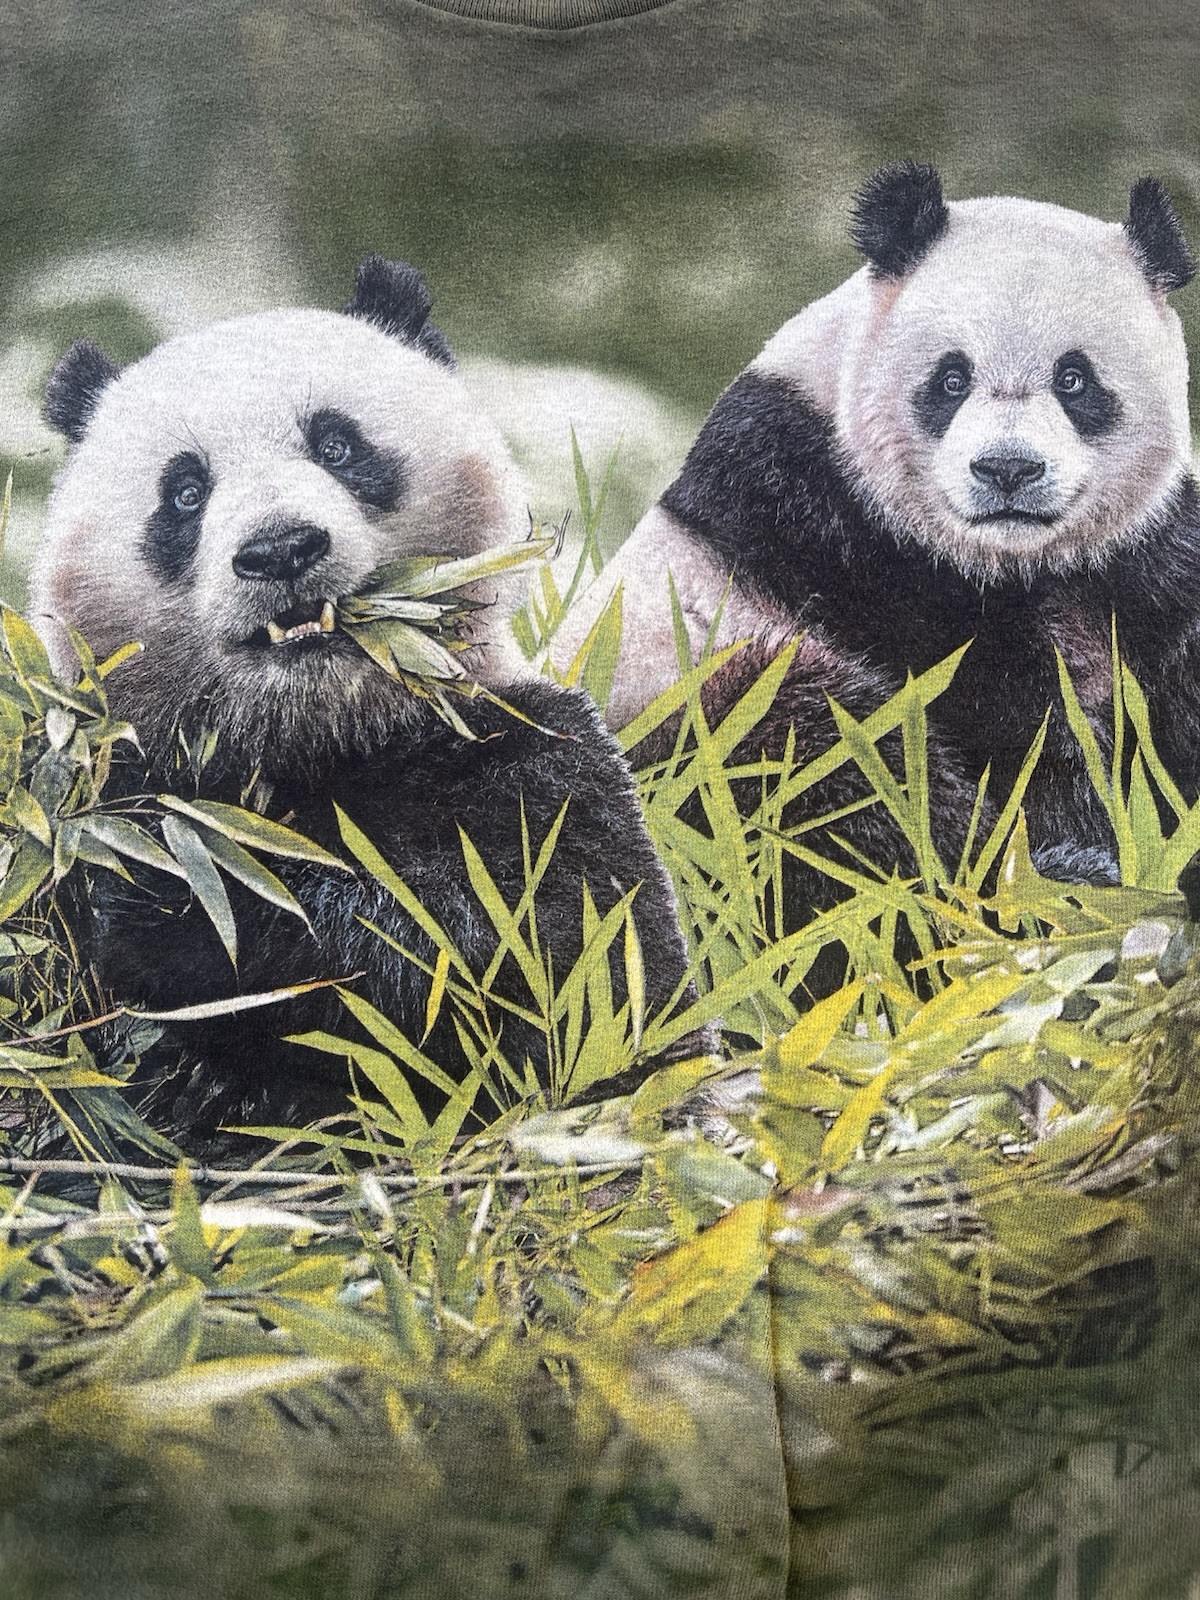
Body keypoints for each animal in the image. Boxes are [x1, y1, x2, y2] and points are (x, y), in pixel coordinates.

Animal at [31, 258, 704, 1145]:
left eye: (337, 444)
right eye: (184, 491)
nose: (281, 548)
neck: (319, 732)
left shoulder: (536, 767)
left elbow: (527, 980)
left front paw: (186, 907)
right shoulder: (98, 783)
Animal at [554, 165, 1200, 889]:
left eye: (1074, 379)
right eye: (951, 379)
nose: (1007, 469)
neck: (1016, 557)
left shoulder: (1146, 551)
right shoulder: (830, 522)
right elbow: (986, 703)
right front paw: (1071, 827)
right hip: (676, 699)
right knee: (808, 764)